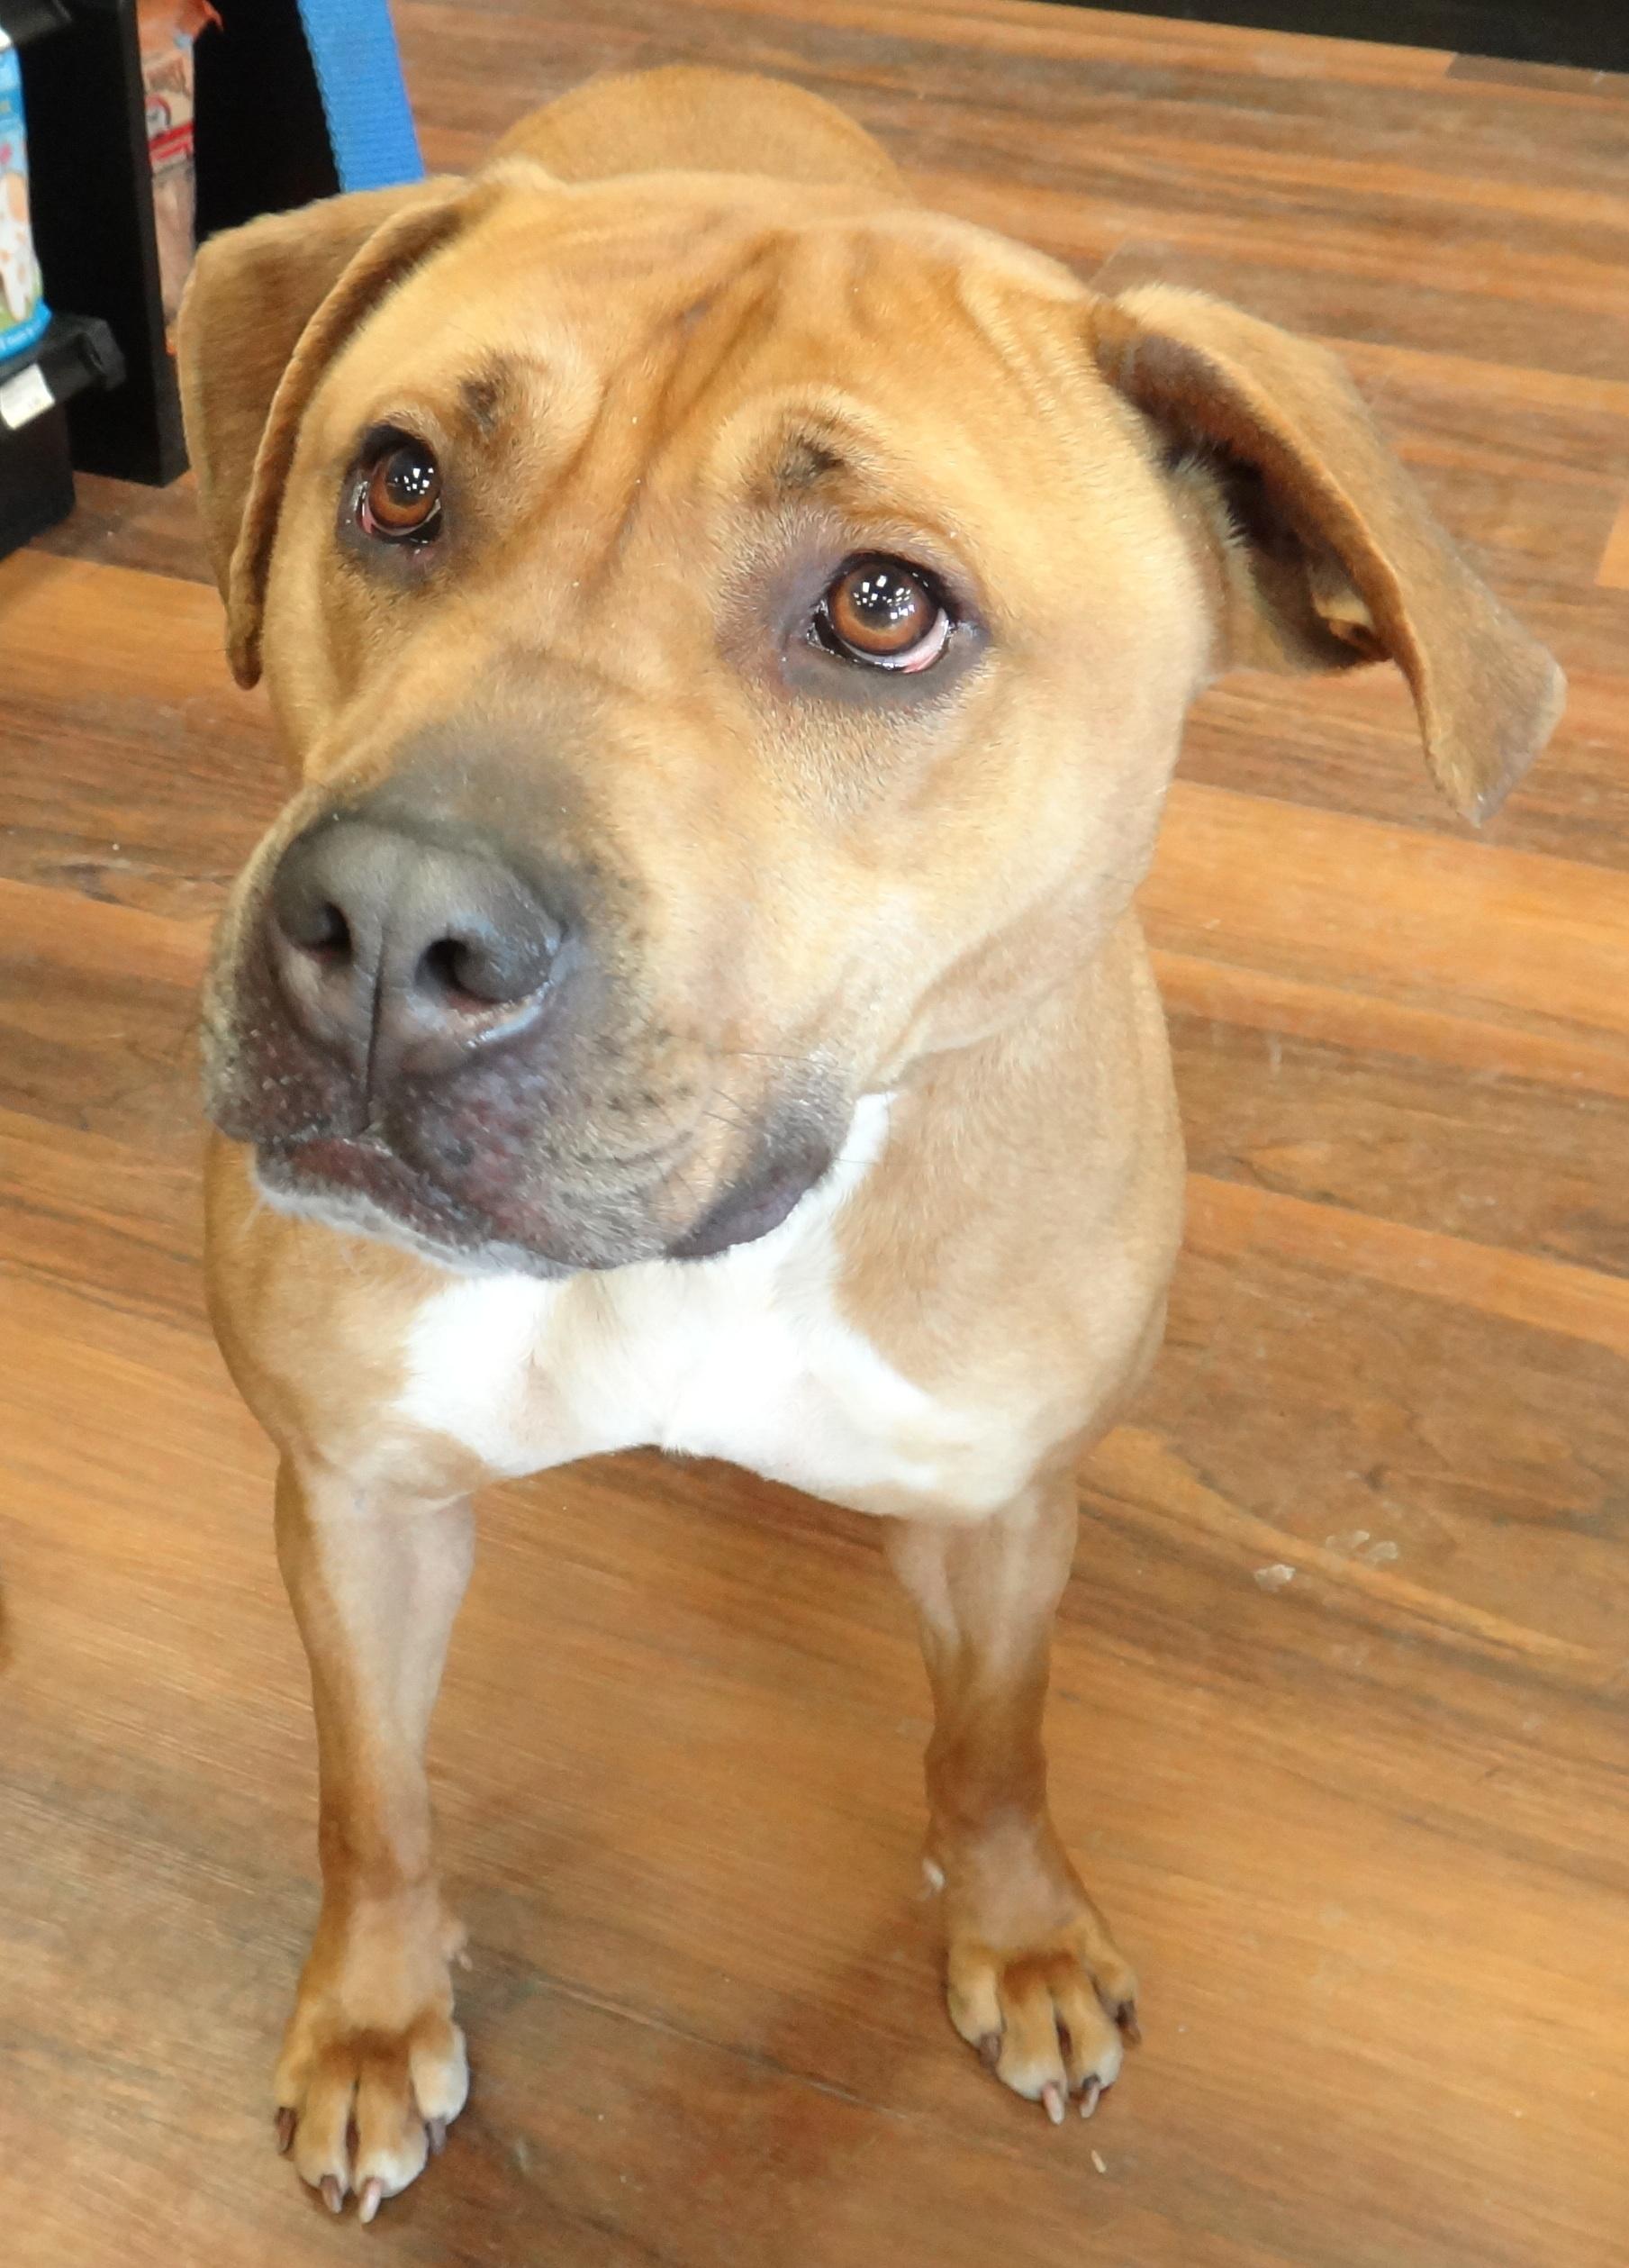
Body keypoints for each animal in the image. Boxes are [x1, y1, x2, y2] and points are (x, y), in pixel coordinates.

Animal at [179, 66, 1570, 2213]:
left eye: (883, 606)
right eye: (396, 486)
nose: (391, 933)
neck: (718, 1244)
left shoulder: (999, 1502)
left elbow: (993, 1743)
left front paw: (1021, 1934)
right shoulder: (355, 1494)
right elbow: (372, 1796)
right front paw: (369, 2016)